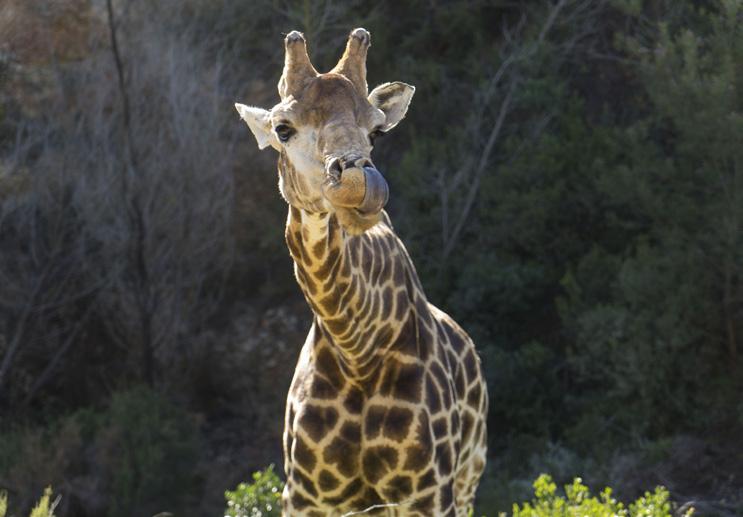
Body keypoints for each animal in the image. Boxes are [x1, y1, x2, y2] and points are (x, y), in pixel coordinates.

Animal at [234, 29, 488, 516]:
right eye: (282, 128)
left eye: (376, 130)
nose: (360, 184)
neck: (356, 348)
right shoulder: (306, 496)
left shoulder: (429, 493)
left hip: (468, 478)